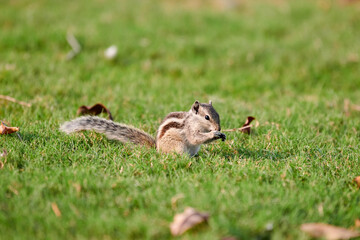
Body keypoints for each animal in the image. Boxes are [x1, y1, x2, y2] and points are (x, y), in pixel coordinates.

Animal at [60, 100, 226, 157]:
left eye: (218, 115)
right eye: (207, 117)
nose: (218, 127)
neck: (193, 120)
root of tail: (157, 148)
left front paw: (221, 134)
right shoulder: (189, 129)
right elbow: (195, 138)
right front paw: (214, 134)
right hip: (177, 146)